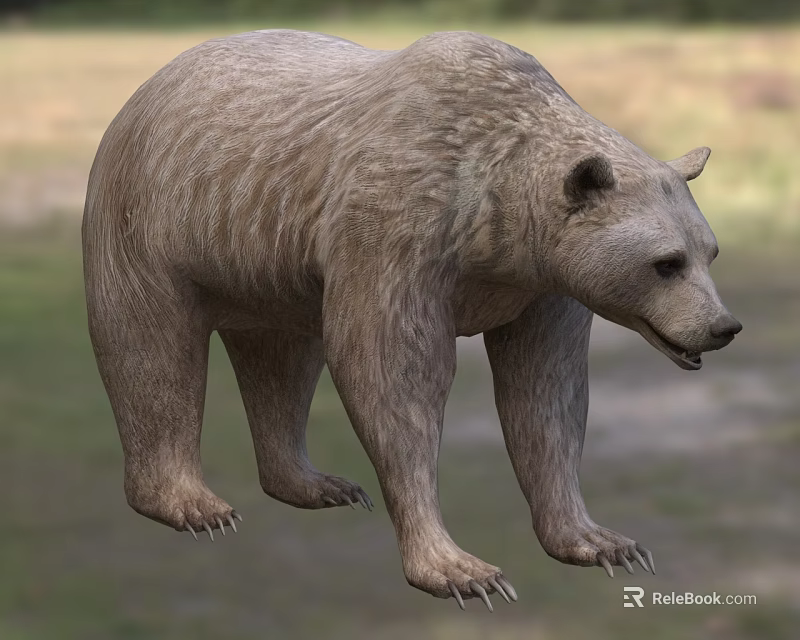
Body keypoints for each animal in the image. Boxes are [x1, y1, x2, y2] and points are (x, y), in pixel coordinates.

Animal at [82, 29, 742, 610]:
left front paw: (601, 541)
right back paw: (194, 504)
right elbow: (394, 373)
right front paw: (462, 570)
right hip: (156, 218)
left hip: (271, 267)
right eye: (666, 263)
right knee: (152, 350)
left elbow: (545, 392)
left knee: (282, 359)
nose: (722, 327)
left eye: (709, 252)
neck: (496, 218)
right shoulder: (397, 223)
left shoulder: (544, 287)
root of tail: (151, 79)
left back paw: (315, 483)